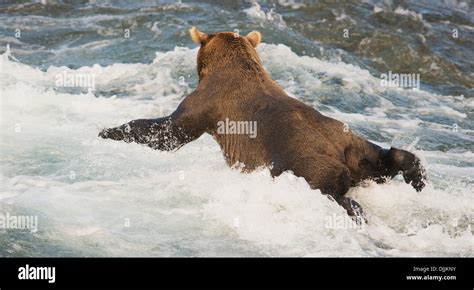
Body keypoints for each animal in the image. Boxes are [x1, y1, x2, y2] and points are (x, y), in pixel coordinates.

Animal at [99, 27, 426, 220]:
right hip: (353, 146)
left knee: (332, 192)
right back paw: (416, 174)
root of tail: (338, 156)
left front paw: (110, 130)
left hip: (301, 164)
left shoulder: (208, 102)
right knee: (383, 158)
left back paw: (356, 211)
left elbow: (171, 132)